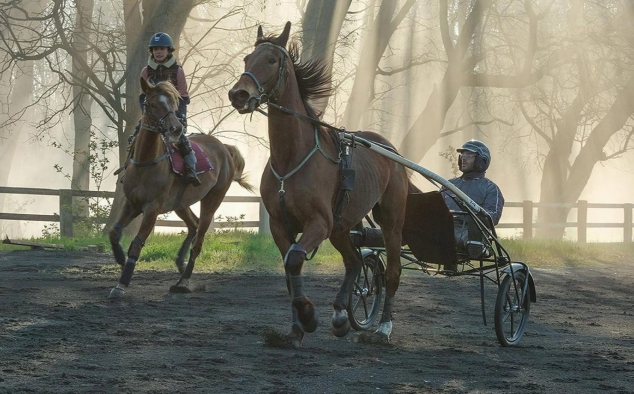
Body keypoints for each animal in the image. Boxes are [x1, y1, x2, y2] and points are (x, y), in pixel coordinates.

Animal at [109, 77, 254, 298]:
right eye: (153, 104)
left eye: (173, 103)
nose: (176, 128)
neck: (146, 162)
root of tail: (224, 148)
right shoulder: (131, 204)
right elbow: (113, 232)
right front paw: (120, 258)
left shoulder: (152, 209)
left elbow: (136, 243)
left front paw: (122, 283)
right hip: (180, 203)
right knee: (193, 224)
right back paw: (180, 263)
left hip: (213, 199)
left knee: (198, 239)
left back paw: (183, 280)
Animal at [227, 22, 410, 348]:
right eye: (247, 59)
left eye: (271, 60)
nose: (239, 94)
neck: (292, 158)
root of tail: (389, 148)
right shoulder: (281, 225)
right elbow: (290, 269)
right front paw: (295, 330)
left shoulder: (319, 223)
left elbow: (295, 260)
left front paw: (309, 317)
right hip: (341, 225)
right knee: (353, 261)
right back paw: (340, 316)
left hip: (390, 219)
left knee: (392, 271)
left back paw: (382, 329)